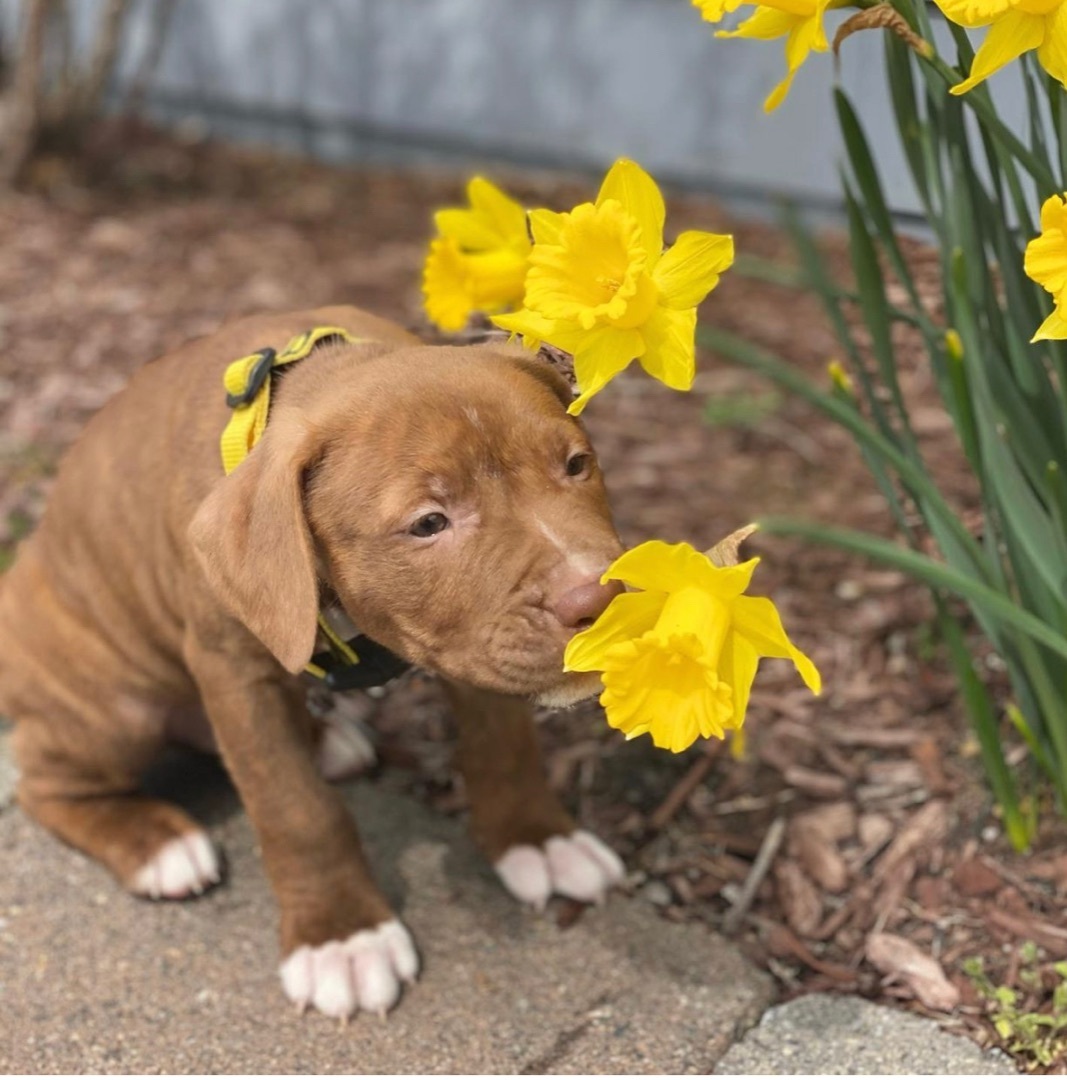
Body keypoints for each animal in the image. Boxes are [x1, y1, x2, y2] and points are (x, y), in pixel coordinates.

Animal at [0, 304, 626, 1019]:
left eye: (576, 465)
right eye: (429, 523)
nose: (598, 596)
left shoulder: (475, 637)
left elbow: (506, 743)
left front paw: (537, 838)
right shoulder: (234, 672)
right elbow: (294, 807)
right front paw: (341, 936)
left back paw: (324, 737)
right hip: (112, 707)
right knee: (44, 782)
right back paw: (157, 843)